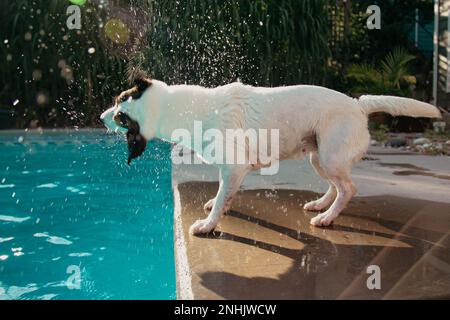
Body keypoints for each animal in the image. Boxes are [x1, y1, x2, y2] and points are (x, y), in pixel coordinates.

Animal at [100, 75, 442, 235]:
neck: (188, 109)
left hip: (329, 158)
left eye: (120, 115)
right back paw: (321, 205)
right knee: (337, 186)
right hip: (319, 158)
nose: (101, 117)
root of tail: (358, 105)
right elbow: (225, 194)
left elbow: (222, 198)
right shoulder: (232, 171)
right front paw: (218, 207)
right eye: (118, 102)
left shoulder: (235, 167)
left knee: (349, 188)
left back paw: (327, 217)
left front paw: (208, 225)